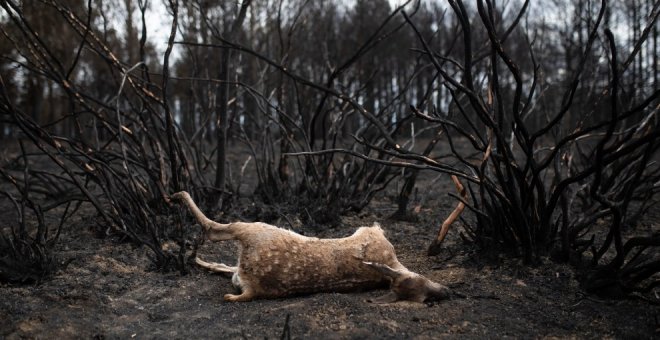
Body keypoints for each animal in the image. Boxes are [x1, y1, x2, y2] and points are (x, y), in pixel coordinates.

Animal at [170, 191, 452, 302]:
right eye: (424, 294)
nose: (447, 291)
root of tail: (253, 288)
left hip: (256, 230)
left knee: (214, 230)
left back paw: (176, 197)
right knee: (225, 261)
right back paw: (196, 258)